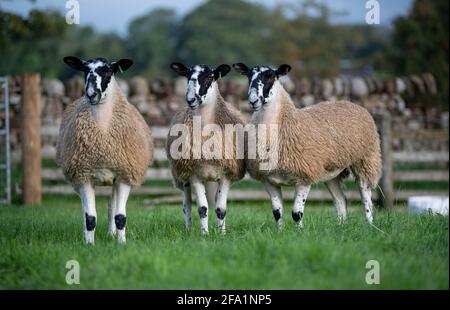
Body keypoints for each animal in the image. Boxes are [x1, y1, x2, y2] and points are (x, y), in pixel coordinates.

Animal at [55, 57, 155, 243]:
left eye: (109, 70)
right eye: (84, 70)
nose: (91, 94)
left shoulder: (124, 175)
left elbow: (120, 217)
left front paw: (121, 243)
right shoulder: (84, 176)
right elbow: (90, 218)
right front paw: (89, 244)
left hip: (115, 178)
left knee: (111, 205)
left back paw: (111, 234)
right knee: (85, 211)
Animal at [168, 62, 248, 232]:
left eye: (210, 77)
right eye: (187, 75)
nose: (191, 99)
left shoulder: (227, 174)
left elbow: (221, 209)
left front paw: (221, 233)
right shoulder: (194, 174)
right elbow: (202, 208)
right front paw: (204, 233)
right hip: (182, 175)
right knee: (187, 205)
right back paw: (188, 230)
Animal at [234, 63, 382, 228]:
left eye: (271, 76)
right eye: (248, 76)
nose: (253, 101)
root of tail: (349, 102)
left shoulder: (304, 176)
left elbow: (296, 213)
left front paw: (299, 232)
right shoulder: (269, 180)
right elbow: (277, 213)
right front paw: (280, 231)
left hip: (366, 159)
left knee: (366, 197)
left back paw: (370, 225)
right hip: (330, 171)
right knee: (340, 200)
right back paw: (341, 227)